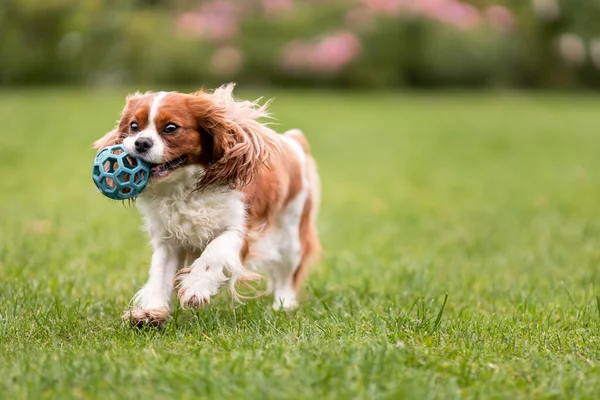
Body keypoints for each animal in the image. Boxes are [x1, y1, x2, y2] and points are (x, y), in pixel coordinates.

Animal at [94, 83, 322, 324]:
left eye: (171, 128)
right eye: (134, 126)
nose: (140, 142)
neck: (184, 188)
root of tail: (295, 143)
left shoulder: (241, 230)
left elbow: (215, 251)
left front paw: (195, 287)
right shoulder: (167, 240)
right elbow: (159, 274)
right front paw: (152, 312)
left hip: (291, 236)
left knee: (287, 274)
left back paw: (283, 305)